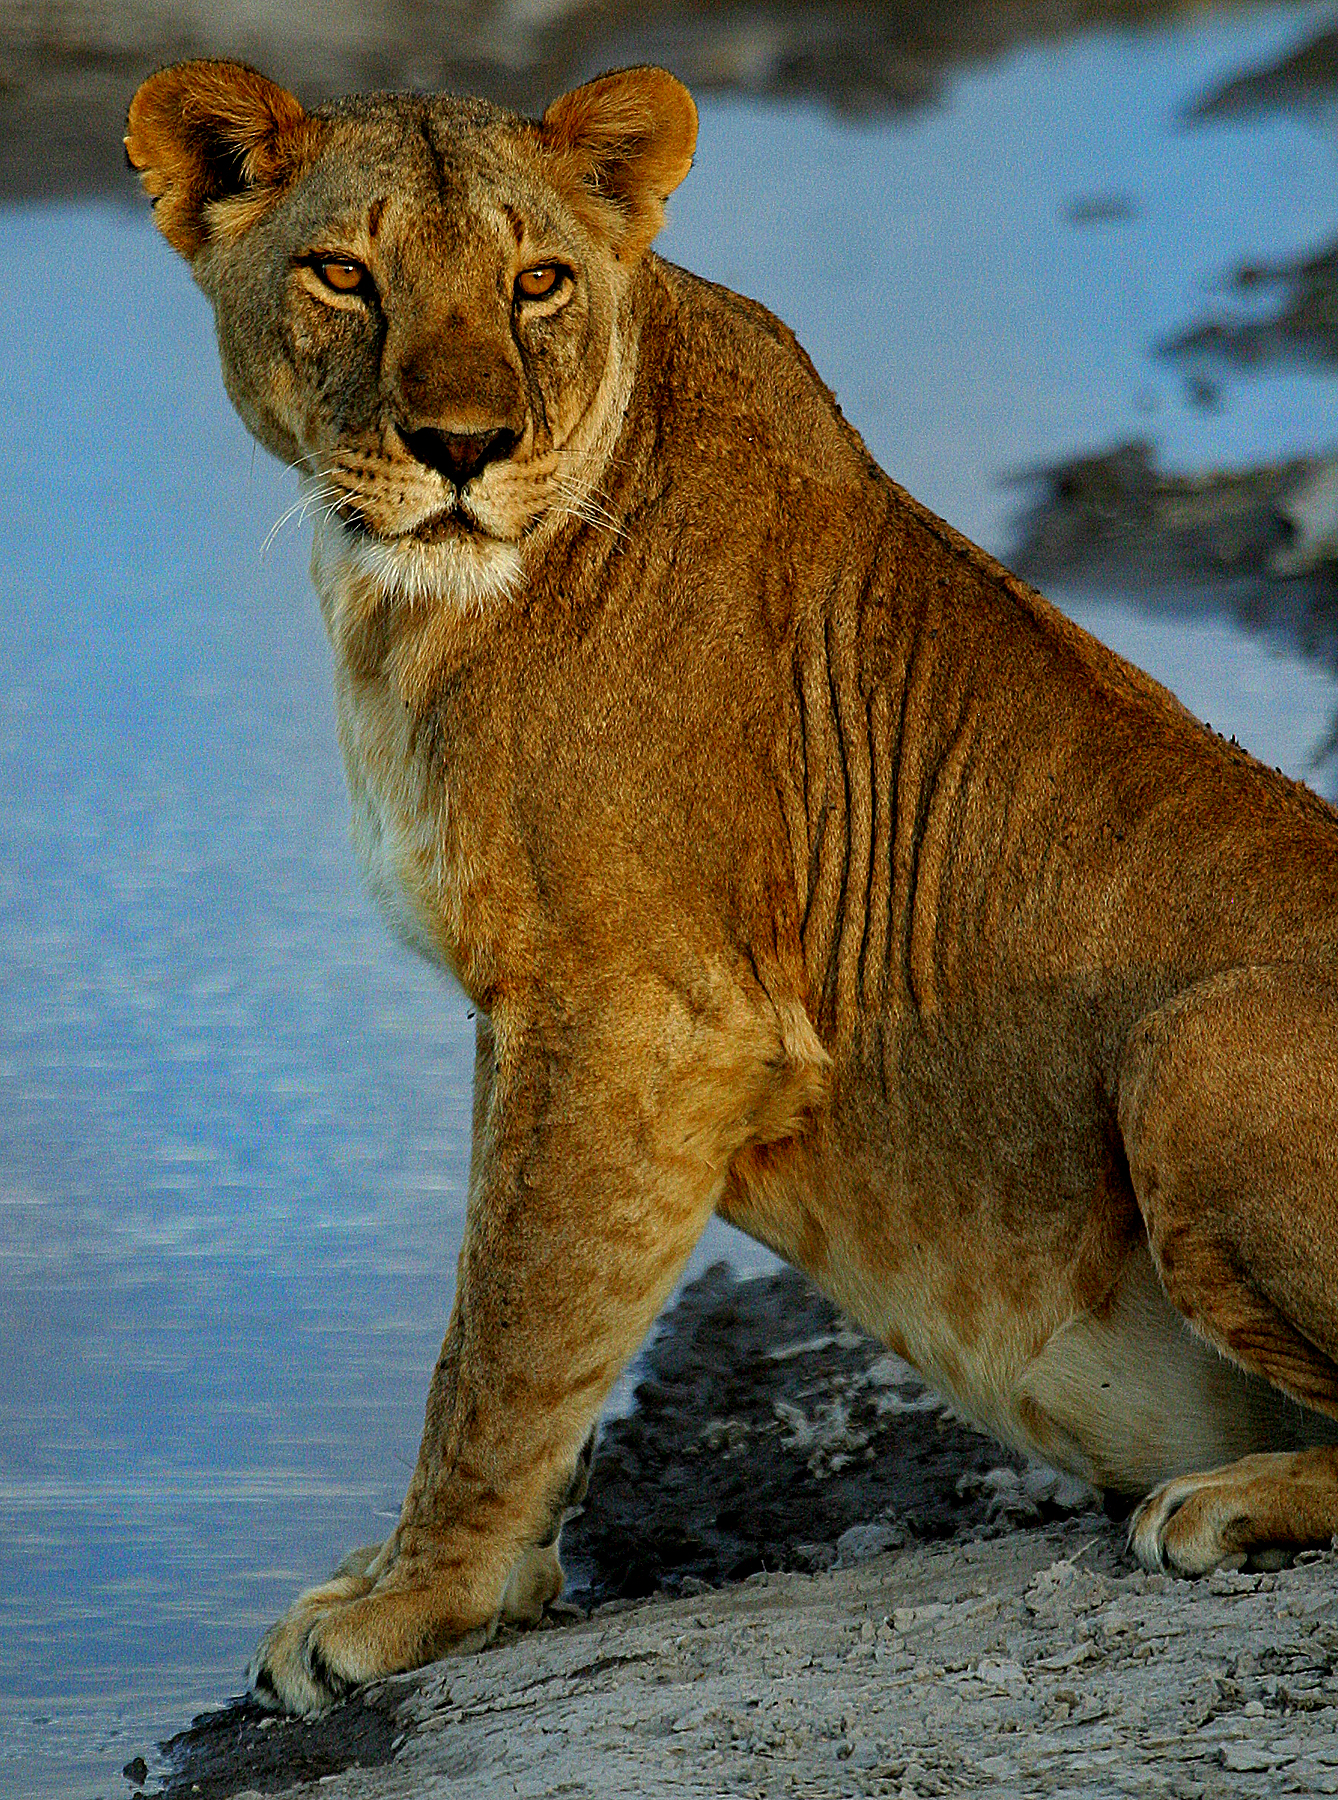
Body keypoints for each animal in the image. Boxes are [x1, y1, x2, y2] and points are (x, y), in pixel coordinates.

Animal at [126, 58, 1338, 1716]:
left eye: (536, 281)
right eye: (342, 275)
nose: (460, 449)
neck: (404, 612)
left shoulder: (644, 1008)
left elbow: (507, 1326)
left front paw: (415, 1603)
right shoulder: (541, 1014)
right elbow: (520, 1290)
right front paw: (468, 1579)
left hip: (1192, 1046)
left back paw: (1215, 1503)